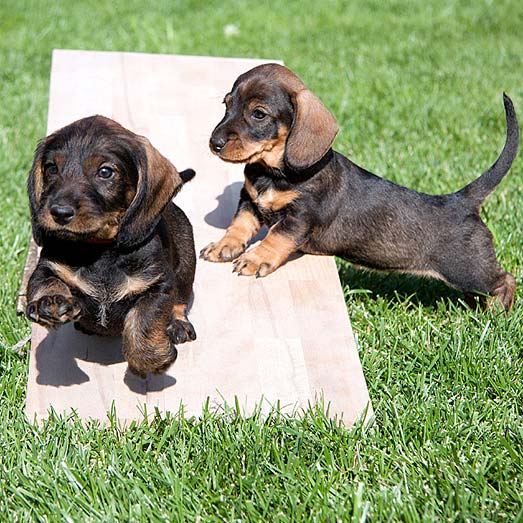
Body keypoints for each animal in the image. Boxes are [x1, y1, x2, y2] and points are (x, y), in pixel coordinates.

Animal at [25, 116, 196, 376]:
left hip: (186, 267)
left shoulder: (158, 285)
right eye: (52, 168)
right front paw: (51, 303)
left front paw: (153, 359)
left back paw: (178, 323)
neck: (100, 250)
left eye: (105, 172)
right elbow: (46, 283)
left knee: (181, 300)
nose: (59, 212)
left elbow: (144, 320)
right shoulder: (46, 268)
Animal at [202, 64, 520, 312]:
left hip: (468, 269)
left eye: (258, 114)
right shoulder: (249, 199)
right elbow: (239, 225)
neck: (274, 172)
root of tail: (461, 200)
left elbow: (276, 238)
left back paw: (495, 315)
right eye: (227, 105)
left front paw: (255, 259)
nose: (214, 143)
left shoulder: (300, 217)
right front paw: (224, 246)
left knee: (505, 281)